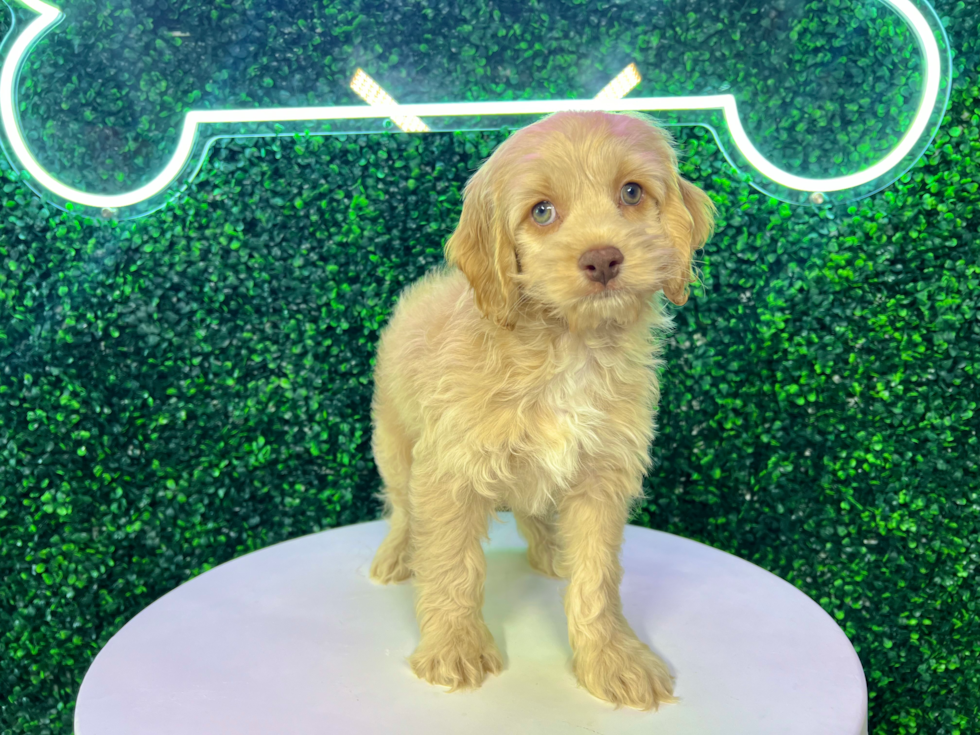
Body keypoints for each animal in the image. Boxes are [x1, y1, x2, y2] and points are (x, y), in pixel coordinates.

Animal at [366, 110, 712, 712]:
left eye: (631, 192)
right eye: (542, 211)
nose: (603, 258)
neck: (568, 345)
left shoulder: (602, 472)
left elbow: (597, 577)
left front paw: (610, 660)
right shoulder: (448, 470)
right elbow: (450, 564)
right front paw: (454, 647)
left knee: (534, 507)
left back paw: (553, 549)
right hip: (393, 438)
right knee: (404, 507)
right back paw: (397, 554)